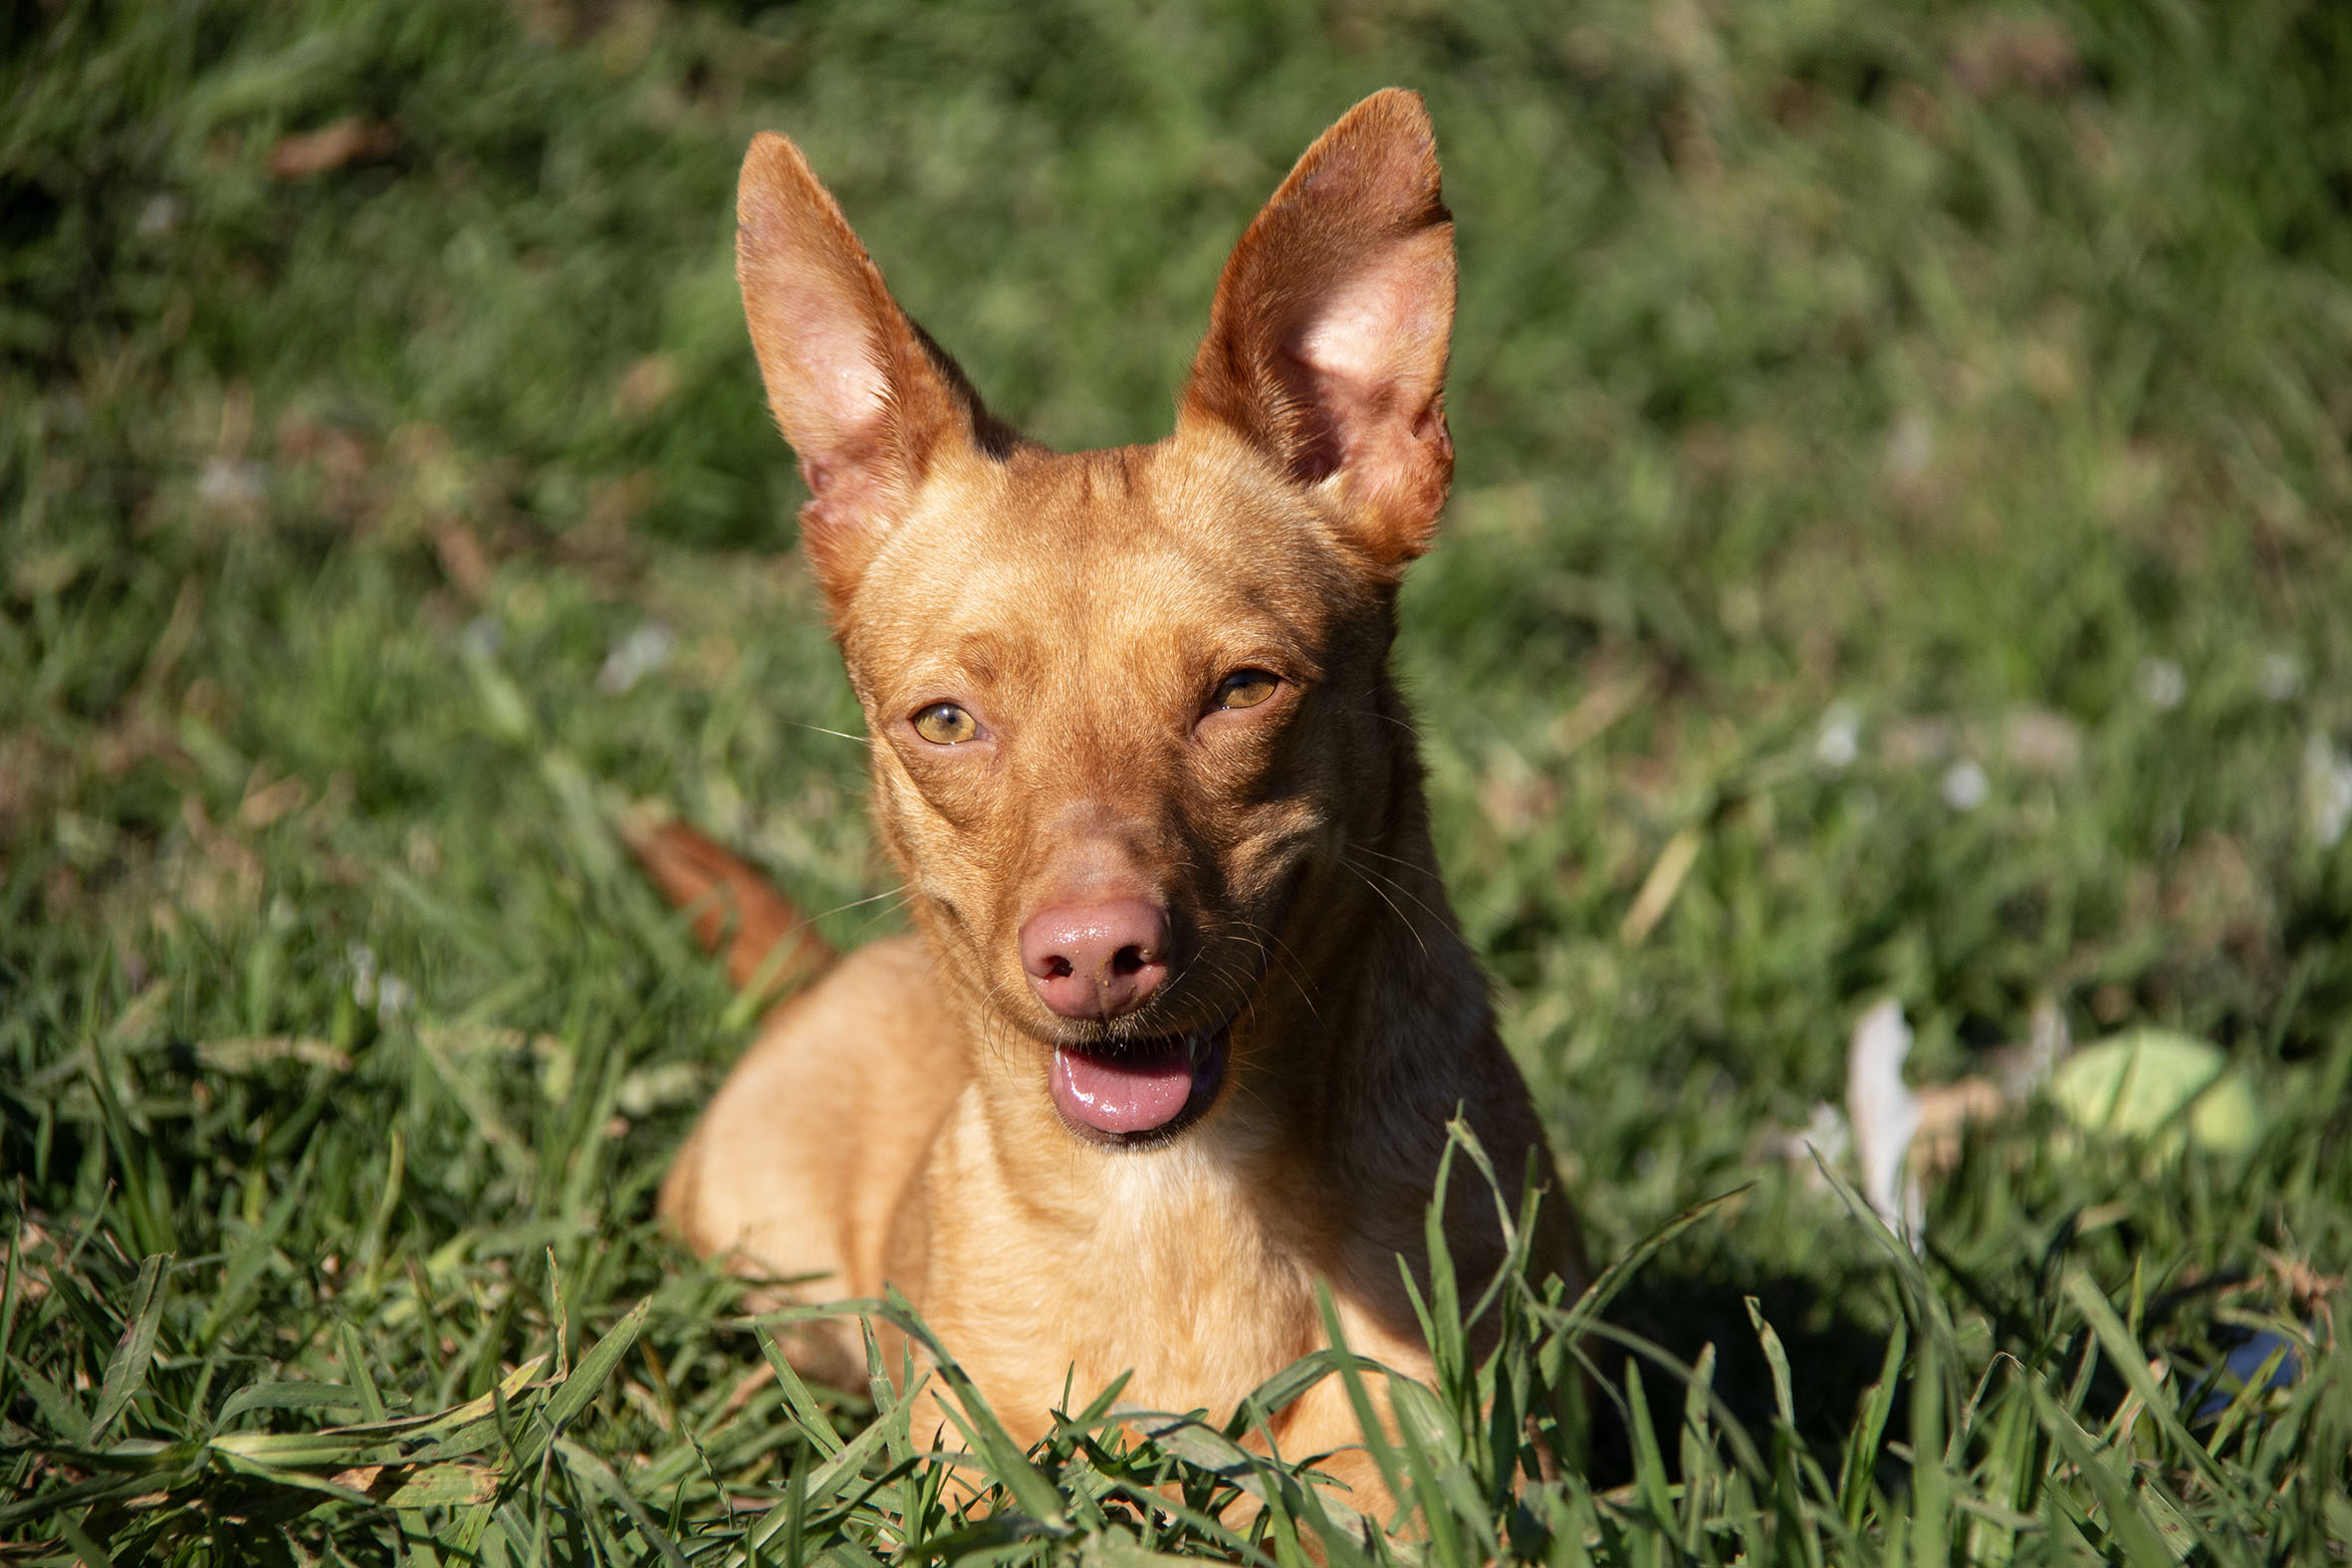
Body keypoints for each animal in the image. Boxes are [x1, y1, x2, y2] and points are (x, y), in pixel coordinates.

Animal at [635, 88, 1586, 1518]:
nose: (1092, 952)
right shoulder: (968, 1470)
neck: (1174, 1206)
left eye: (1242, 689)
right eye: (946, 721)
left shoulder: (1433, 1461)